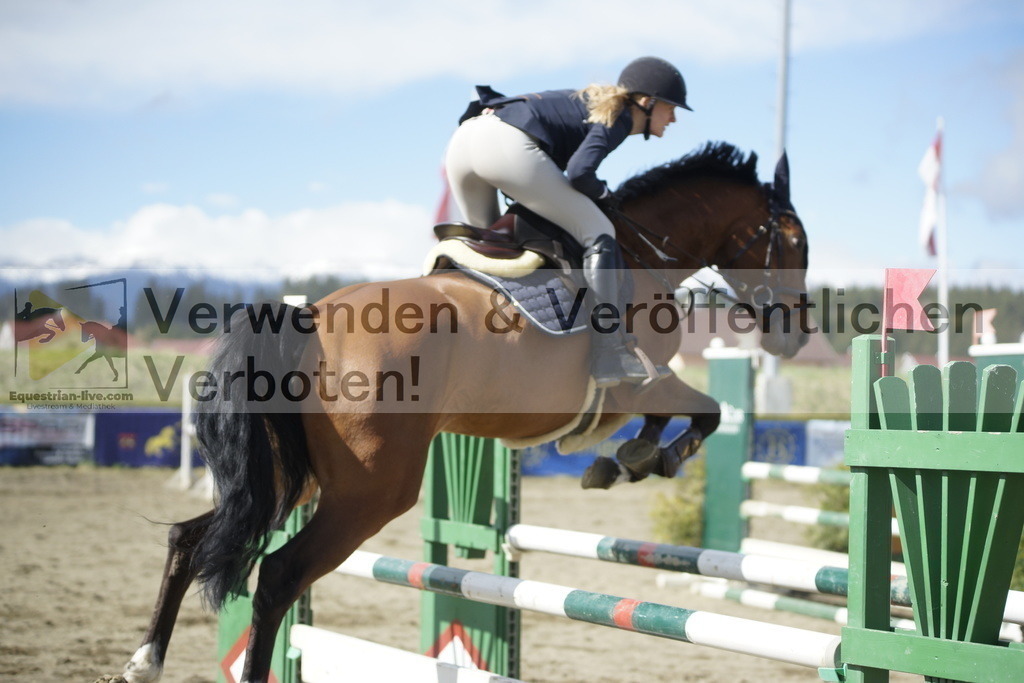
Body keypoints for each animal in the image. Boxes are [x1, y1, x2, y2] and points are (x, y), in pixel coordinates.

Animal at [103, 141, 806, 679]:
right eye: (794, 239)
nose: (792, 337)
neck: (640, 255)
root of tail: (307, 318)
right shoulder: (640, 384)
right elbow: (704, 412)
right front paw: (639, 459)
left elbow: (677, 417)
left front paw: (620, 460)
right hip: (372, 491)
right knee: (277, 575)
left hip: (289, 477)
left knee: (193, 536)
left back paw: (144, 660)